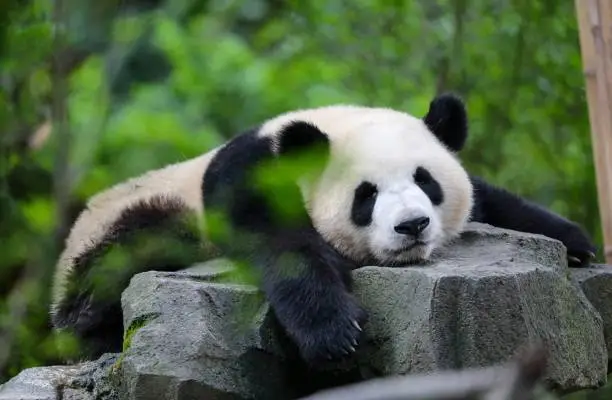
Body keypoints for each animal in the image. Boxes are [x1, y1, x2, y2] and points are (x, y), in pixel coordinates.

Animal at [50, 93, 596, 366]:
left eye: (426, 180)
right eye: (366, 195)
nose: (413, 226)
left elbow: (489, 197)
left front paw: (576, 245)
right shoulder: (244, 176)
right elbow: (283, 246)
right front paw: (336, 332)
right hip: (133, 219)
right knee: (122, 259)